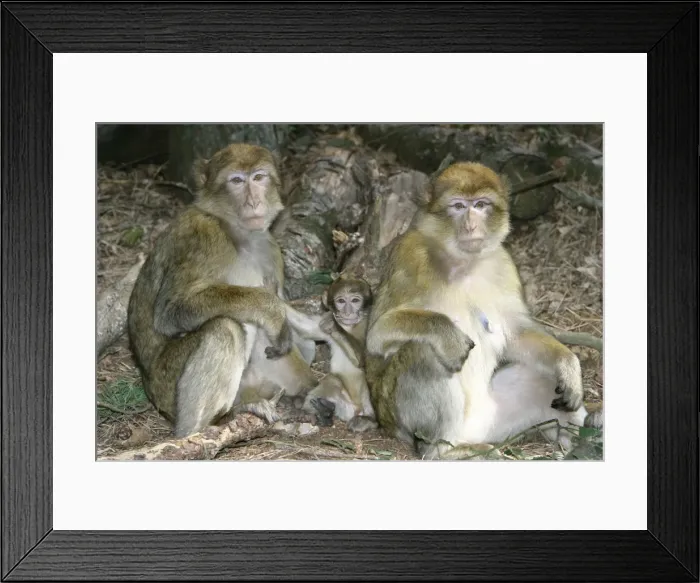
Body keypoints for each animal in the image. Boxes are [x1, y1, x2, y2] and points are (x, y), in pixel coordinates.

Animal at [127, 143, 319, 438]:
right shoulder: (203, 237)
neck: (237, 234)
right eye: (237, 181)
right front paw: (272, 311)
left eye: (259, 177)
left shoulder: (271, 250)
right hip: (167, 387)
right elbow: (171, 311)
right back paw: (209, 425)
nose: (253, 202)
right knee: (225, 327)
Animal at [299, 277, 378, 432]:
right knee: (332, 380)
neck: (350, 327)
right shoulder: (320, 322)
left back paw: (369, 420)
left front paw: (334, 325)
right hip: (345, 407)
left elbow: (364, 360)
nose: (348, 312)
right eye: (341, 301)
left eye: (355, 300)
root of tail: (356, 409)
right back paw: (321, 412)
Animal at [365, 161, 595, 459]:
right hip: (403, 421)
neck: (462, 262)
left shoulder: (504, 264)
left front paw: (567, 364)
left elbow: (516, 336)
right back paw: (444, 451)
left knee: (542, 377)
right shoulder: (410, 256)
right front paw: (447, 335)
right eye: (459, 206)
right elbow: (376, 336)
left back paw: (583, 440)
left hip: (493, 420)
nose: (471, 225)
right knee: (423, 351)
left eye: (481, 204)